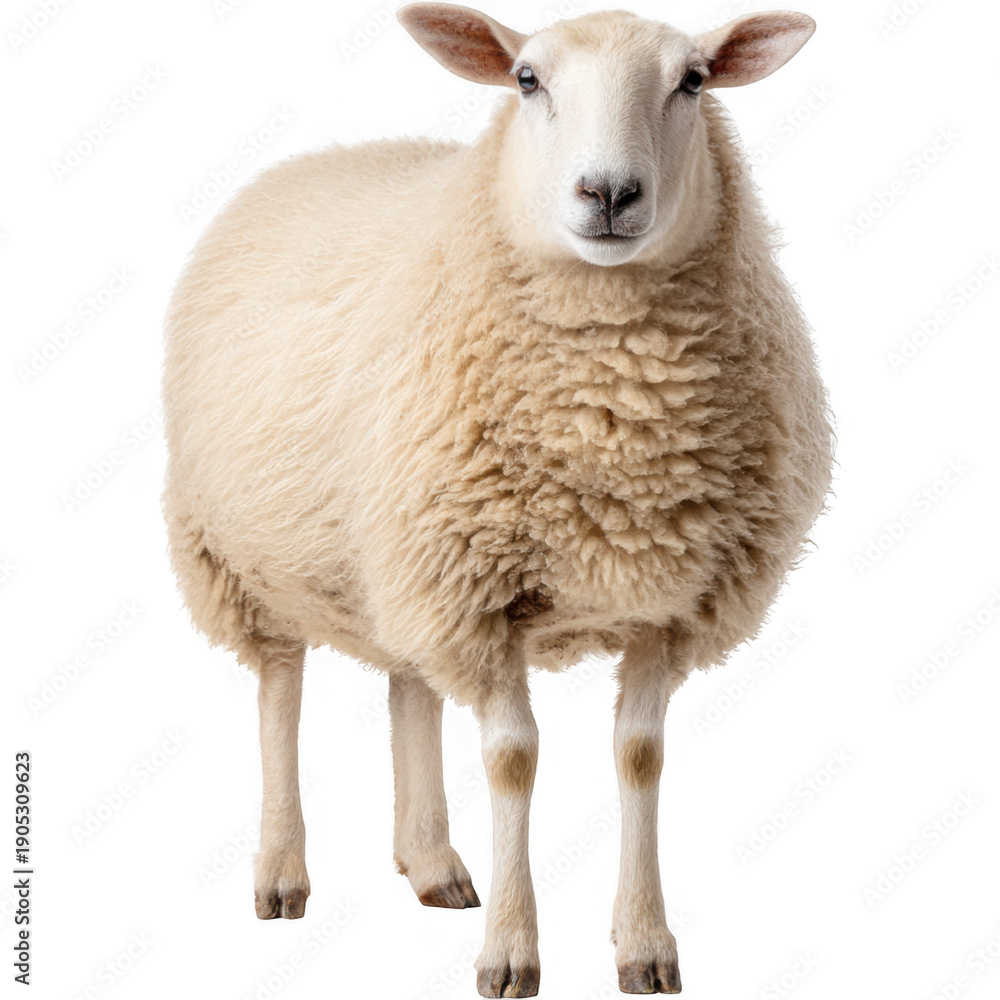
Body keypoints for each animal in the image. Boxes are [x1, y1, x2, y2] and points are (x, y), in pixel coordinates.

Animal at [161, 3, 833, 996]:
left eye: (694, 80)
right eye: (526, 79)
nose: (609, 193)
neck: (614, 419)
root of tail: (321, 157)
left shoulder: (664, 603)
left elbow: (641, 755)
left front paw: (644, 944)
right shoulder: (475, 594)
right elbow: (513, 760)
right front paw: (512, 952)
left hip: (398, 553)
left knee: (409, 686)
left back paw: (432, 863)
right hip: (242, 550)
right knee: (280, 687)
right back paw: (282, 871)